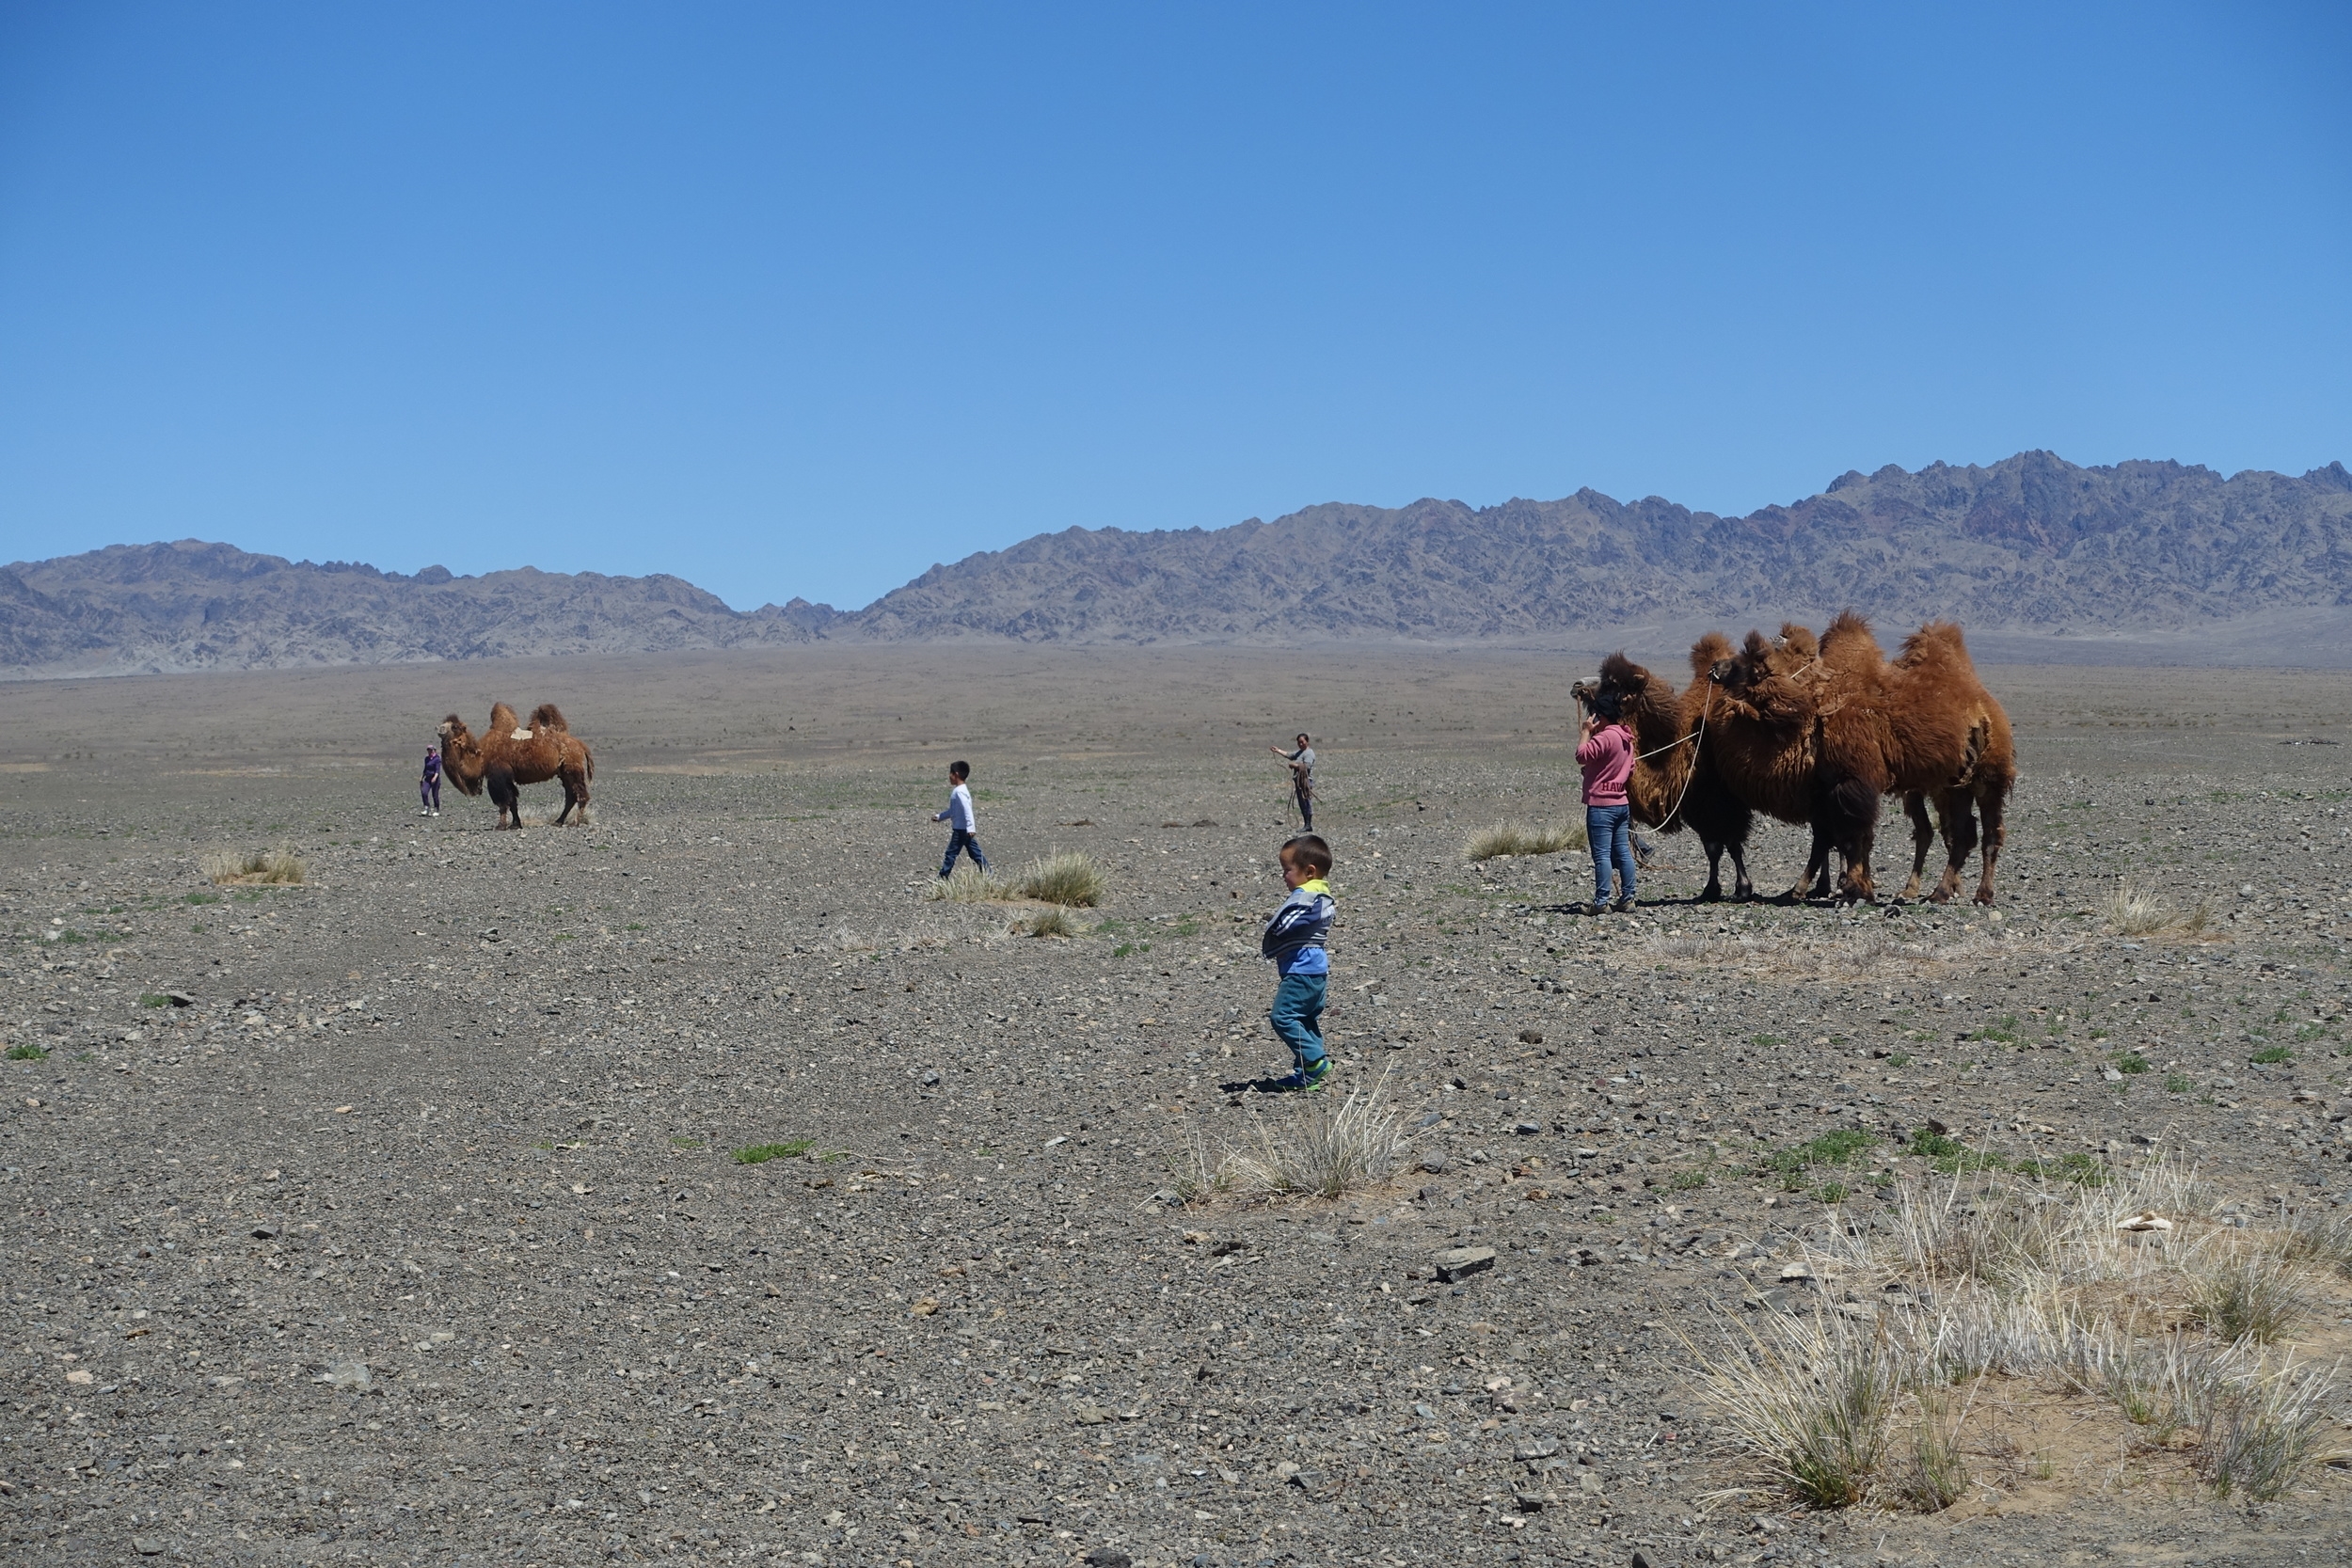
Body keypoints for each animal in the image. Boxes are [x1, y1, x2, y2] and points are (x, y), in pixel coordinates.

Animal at [437, 700, 597, 827]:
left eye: (455, 727)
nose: (439, 728)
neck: (481, 756)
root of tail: (580, 744)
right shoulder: (507, 778)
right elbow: (513, 801)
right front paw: (515, 825)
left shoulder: (497, 776)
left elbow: (503, 802)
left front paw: (500, 826)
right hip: (564, 772)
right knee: (571, 796)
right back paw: (558, 821)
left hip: (573, 768)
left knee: (581, 795)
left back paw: (575, 822)